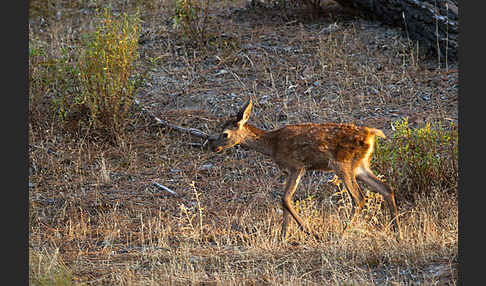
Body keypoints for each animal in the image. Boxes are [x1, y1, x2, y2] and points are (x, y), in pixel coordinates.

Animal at [209, 97, 402, 240]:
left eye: (225, 134)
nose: (213, 147)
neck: (272, 145)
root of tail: (371, 134)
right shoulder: (289, 170)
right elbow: (283, 200)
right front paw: (283, 237)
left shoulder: (297, 166)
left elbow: (286, 199)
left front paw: (310, 233)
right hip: (361, 167)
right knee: (386, 188)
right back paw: (397, 234)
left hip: (342, 164)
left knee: (359, 198)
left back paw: (342, 235)